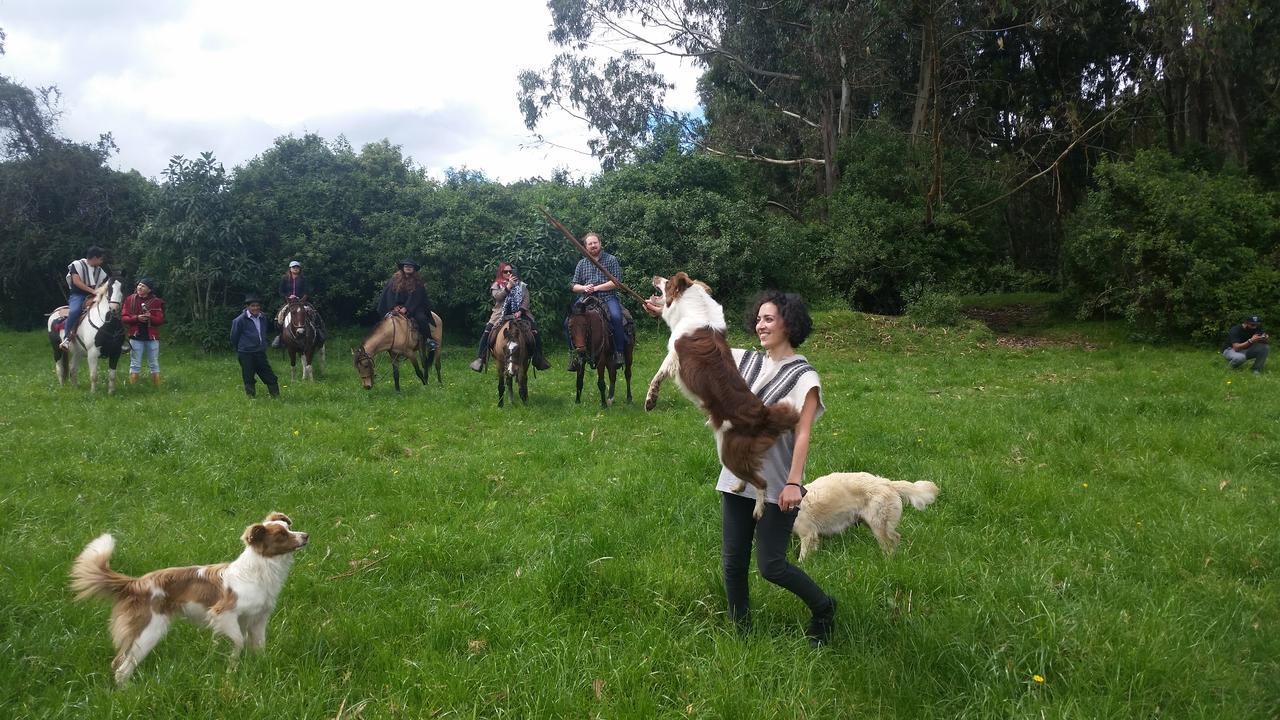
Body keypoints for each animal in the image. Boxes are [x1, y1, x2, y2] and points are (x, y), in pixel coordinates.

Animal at [68, 507, 308, 681]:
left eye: (288, 527)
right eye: (281, 535)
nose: (306, 535)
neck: (259, 571)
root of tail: (137, 583)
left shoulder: (258, 619)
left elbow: (259, 646)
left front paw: (259, 668)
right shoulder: (223, 614)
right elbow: (238, 642)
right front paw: (231, 670)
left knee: (117, 662)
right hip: (149, 631)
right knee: (122, 668)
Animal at [650, 272, 798, 515]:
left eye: (667, 282)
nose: (655, 277)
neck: (696, 308)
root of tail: (764, 415)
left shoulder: (674, 355)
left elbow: (658, 375)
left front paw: (650, 399)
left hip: (728, 451)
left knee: (761, 482)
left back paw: (758, 509)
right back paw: (738, 486)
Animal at [788, 471, 942, 561]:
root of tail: (887, 483)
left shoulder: (808, 535)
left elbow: (803, 557)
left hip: (878, 524)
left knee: (890, 542)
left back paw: (888, 562)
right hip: (872, 522)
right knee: (896, 538)